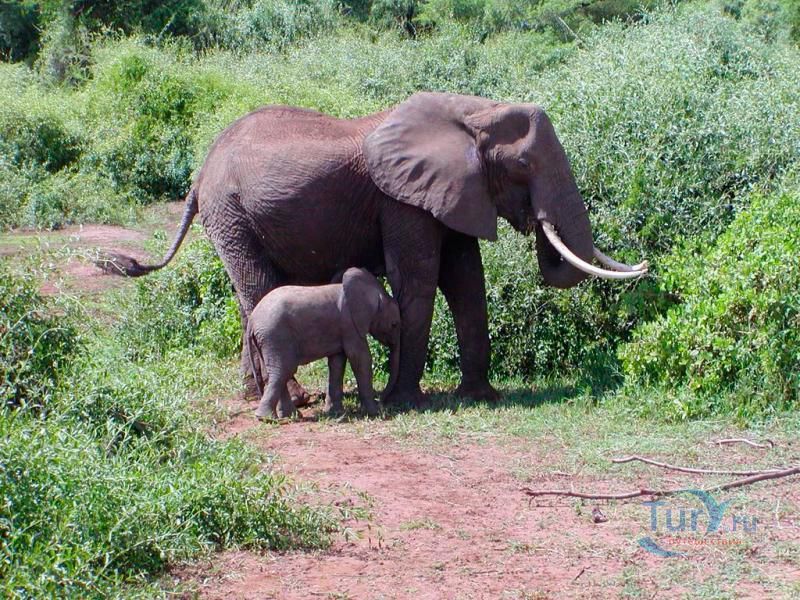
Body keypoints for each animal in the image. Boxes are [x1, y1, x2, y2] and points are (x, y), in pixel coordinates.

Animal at [246, 267, 400, 419]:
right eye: (394, 324)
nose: (382, 400)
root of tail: (252, 320)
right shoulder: (350, 325)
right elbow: (360, 358)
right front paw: (376, 413)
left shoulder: (341, 329)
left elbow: (337, 362)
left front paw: (335, 413)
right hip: (275, 336)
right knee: (282, 370)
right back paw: (266, 418)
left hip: (266, 340)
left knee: (278, 372)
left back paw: (291, 416)